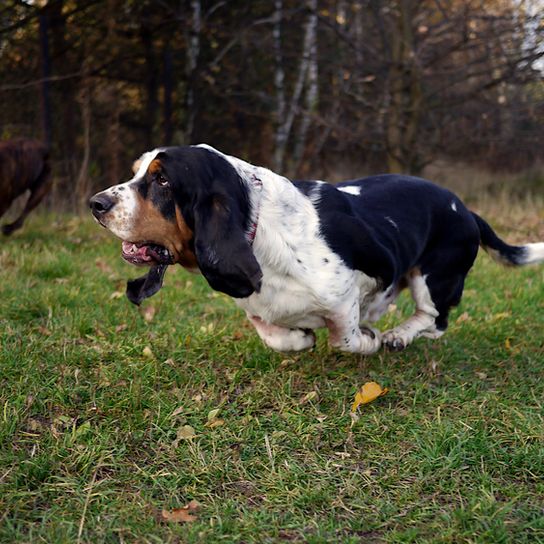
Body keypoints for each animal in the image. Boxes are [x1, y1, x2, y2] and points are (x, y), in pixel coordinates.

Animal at [90, 146, 544, 352]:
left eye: (162, 180)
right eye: (136, 173)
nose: (96, 203)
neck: (259, 228)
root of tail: (467, 210)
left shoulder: (347, 295)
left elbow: (345, 338)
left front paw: (369, 340)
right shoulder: (256, 307)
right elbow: (276, 335)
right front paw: (301, 337)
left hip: (434, 276)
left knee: (435, 319)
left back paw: (397, 336)